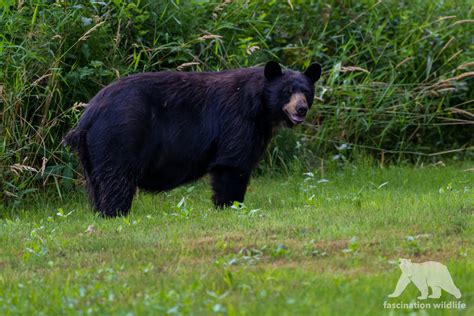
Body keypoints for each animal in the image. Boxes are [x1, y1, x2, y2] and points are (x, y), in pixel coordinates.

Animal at [64, 60, 322, 216]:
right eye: (286, 92)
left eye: (306, 92)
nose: (301, 109)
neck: (259, 107)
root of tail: (88, 117)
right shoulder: (236, 122)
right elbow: (232, 164)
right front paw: (229, 206)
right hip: (119, 137)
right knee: (116, 180)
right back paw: (115, 213)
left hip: (91, 153)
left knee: (97, 183)